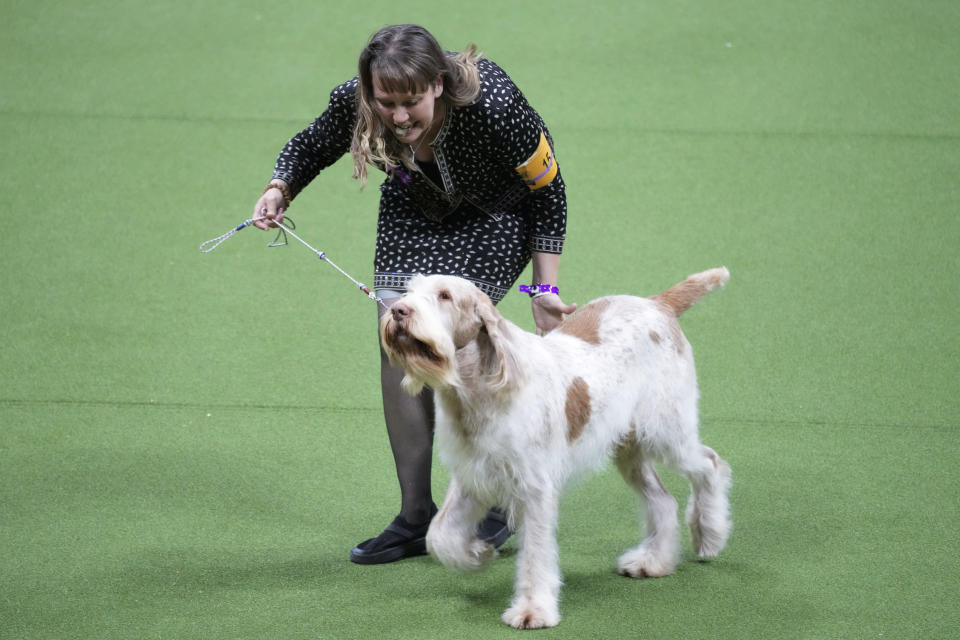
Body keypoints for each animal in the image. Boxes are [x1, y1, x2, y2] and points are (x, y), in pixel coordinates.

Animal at [378, 268, 732, 628]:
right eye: (408, 292)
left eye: (445, 296)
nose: (399, 311)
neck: (476, 390)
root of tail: (657, 304)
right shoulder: (471, 476)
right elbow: (439, 535)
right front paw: (478, 555)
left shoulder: (533, 487)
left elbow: (535, 553)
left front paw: (533, 609)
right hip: (628, 447)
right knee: (662, 500)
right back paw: (653, 561)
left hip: (667, 432)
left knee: (711, 465)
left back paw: (709, 536)